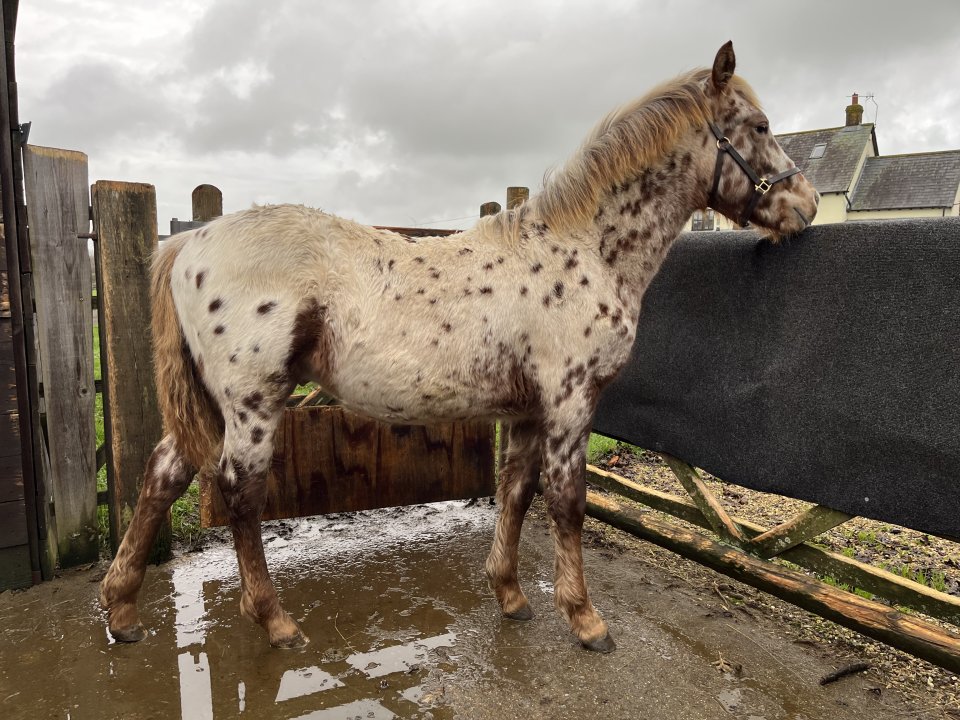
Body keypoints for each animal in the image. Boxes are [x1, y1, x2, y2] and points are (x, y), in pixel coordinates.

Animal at [100, 42, 818, 653]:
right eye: (758, 126)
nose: (806, 203)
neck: (582, 251)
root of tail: (188, 241)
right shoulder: (570, 403)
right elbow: (568, 502)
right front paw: (585, 620)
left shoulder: (528, 412)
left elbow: (516, 492)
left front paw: (510, 595)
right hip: (252, 403)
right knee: (240, 494)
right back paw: (274, 621)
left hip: (213, 403)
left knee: (163, 474)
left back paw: (123, 609)